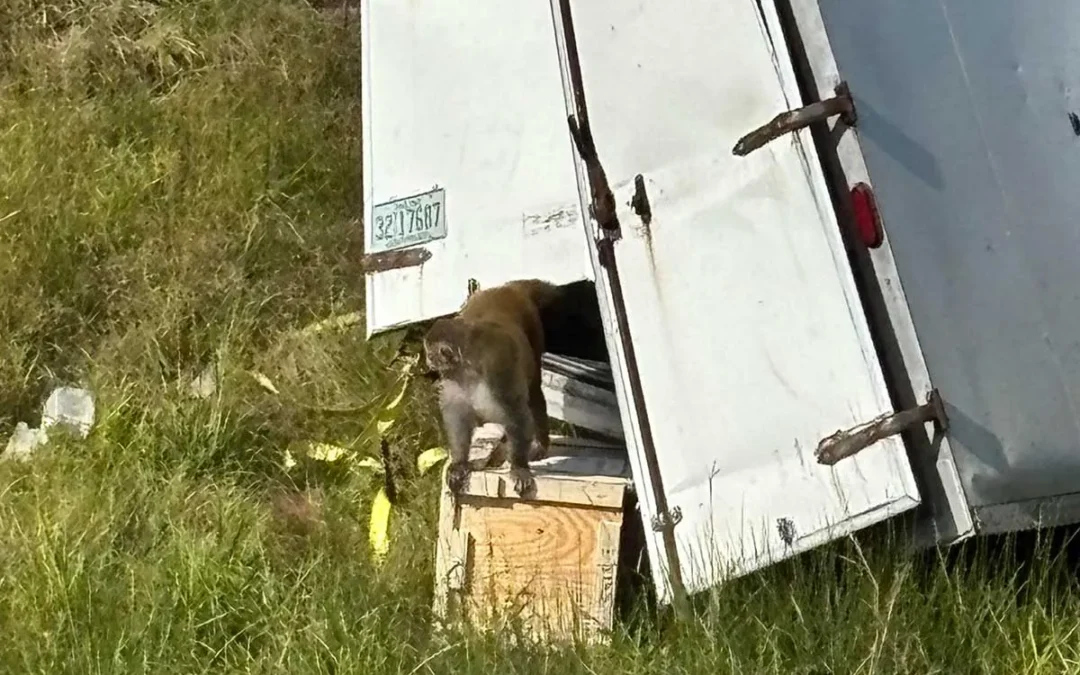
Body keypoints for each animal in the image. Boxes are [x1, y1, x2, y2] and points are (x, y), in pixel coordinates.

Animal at [423, 279, 561, 498]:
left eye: (430, 354)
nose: (428, 361)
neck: (468, 368)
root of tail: (506, 288)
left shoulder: (498, 369)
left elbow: (516, 414)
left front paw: (519, 467)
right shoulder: (453, 380)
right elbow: (458, 417)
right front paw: (459, 463)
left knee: (533, 393)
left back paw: (539, 443)